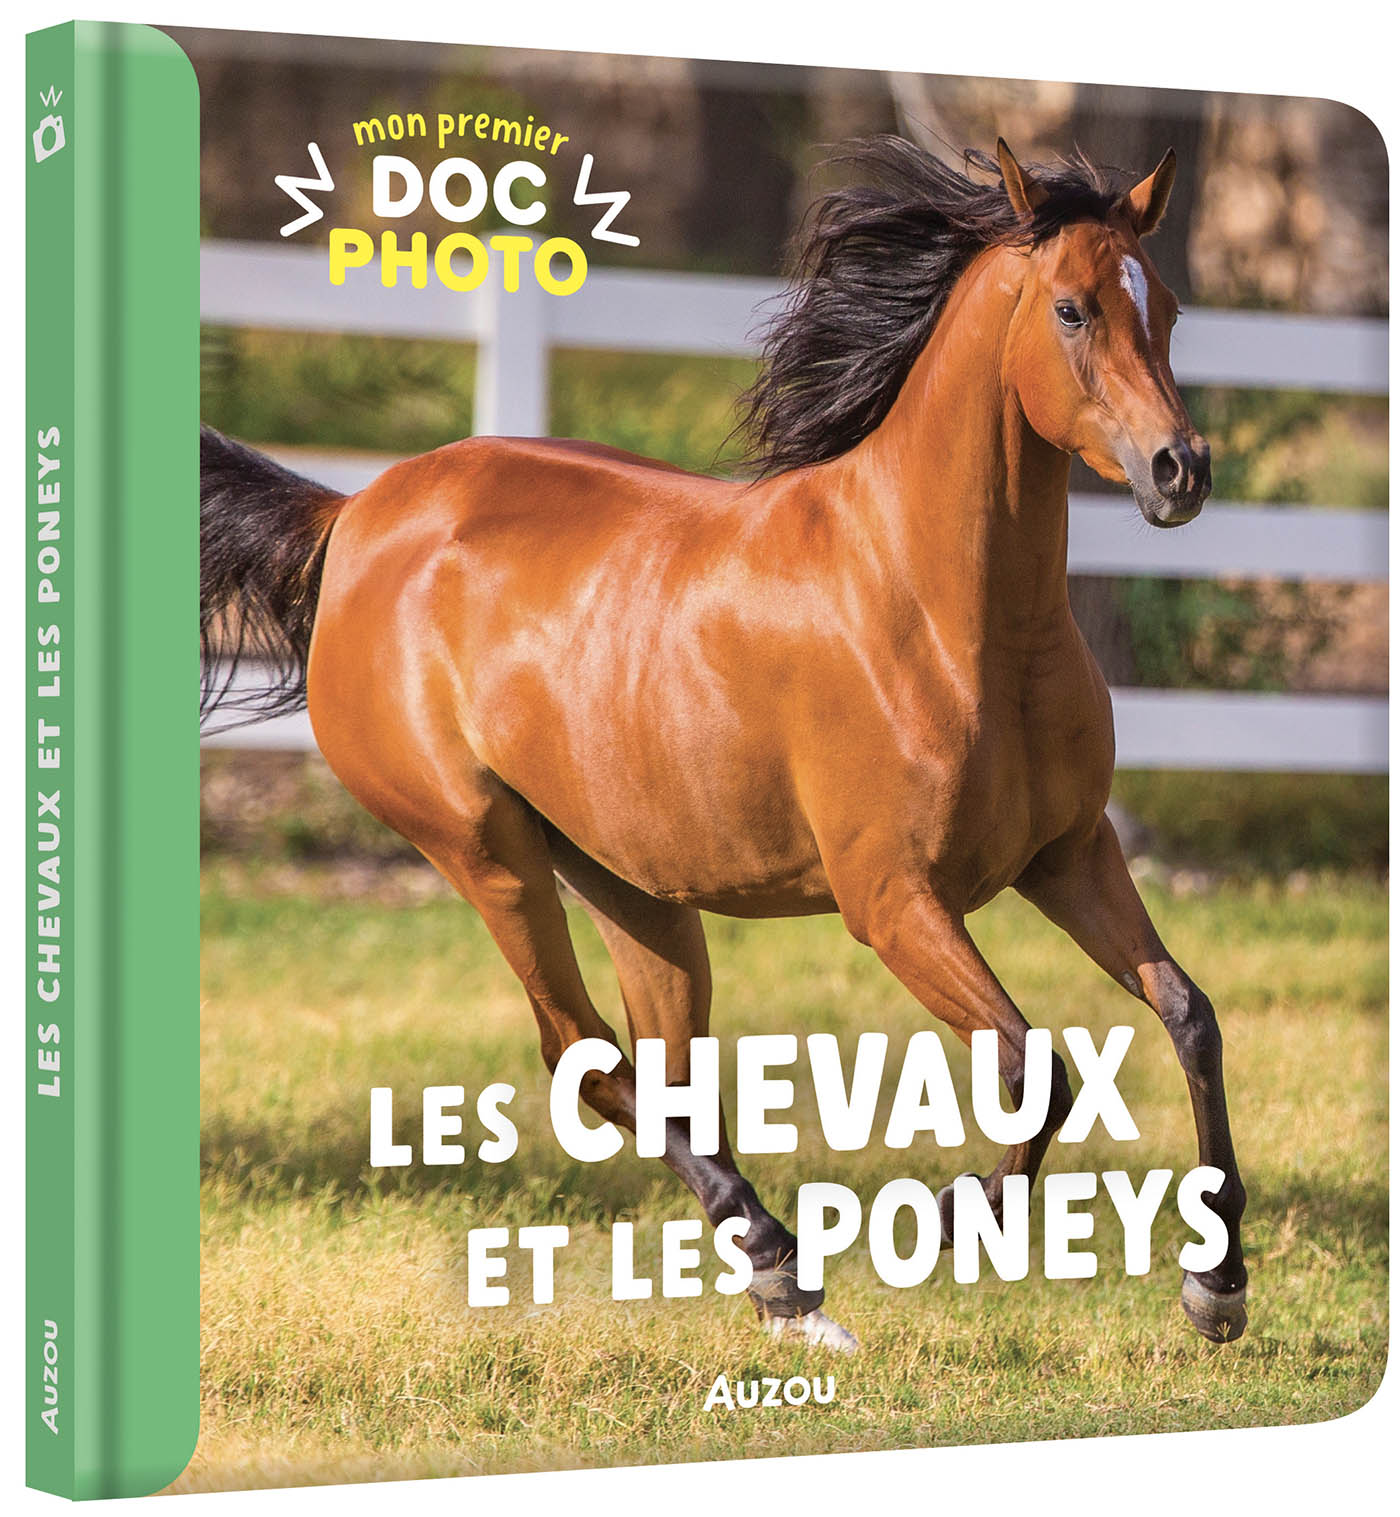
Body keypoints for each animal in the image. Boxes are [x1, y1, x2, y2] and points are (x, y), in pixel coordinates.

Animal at [200, 137, 1246, 1352]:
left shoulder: (1069, 855)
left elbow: (1187, 1014)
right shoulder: (894, 900)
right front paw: (946, 1220)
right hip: (485, 850)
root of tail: (352, 517)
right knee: (581, 1054)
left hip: (632, 885)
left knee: (658, 1065)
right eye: (1073, 308)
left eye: (1164, 305)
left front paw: (1217, 1288)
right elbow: (1038, 1066)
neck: (942, 605)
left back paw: (778, 1279)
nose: (1180, 470)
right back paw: (789, 1266)